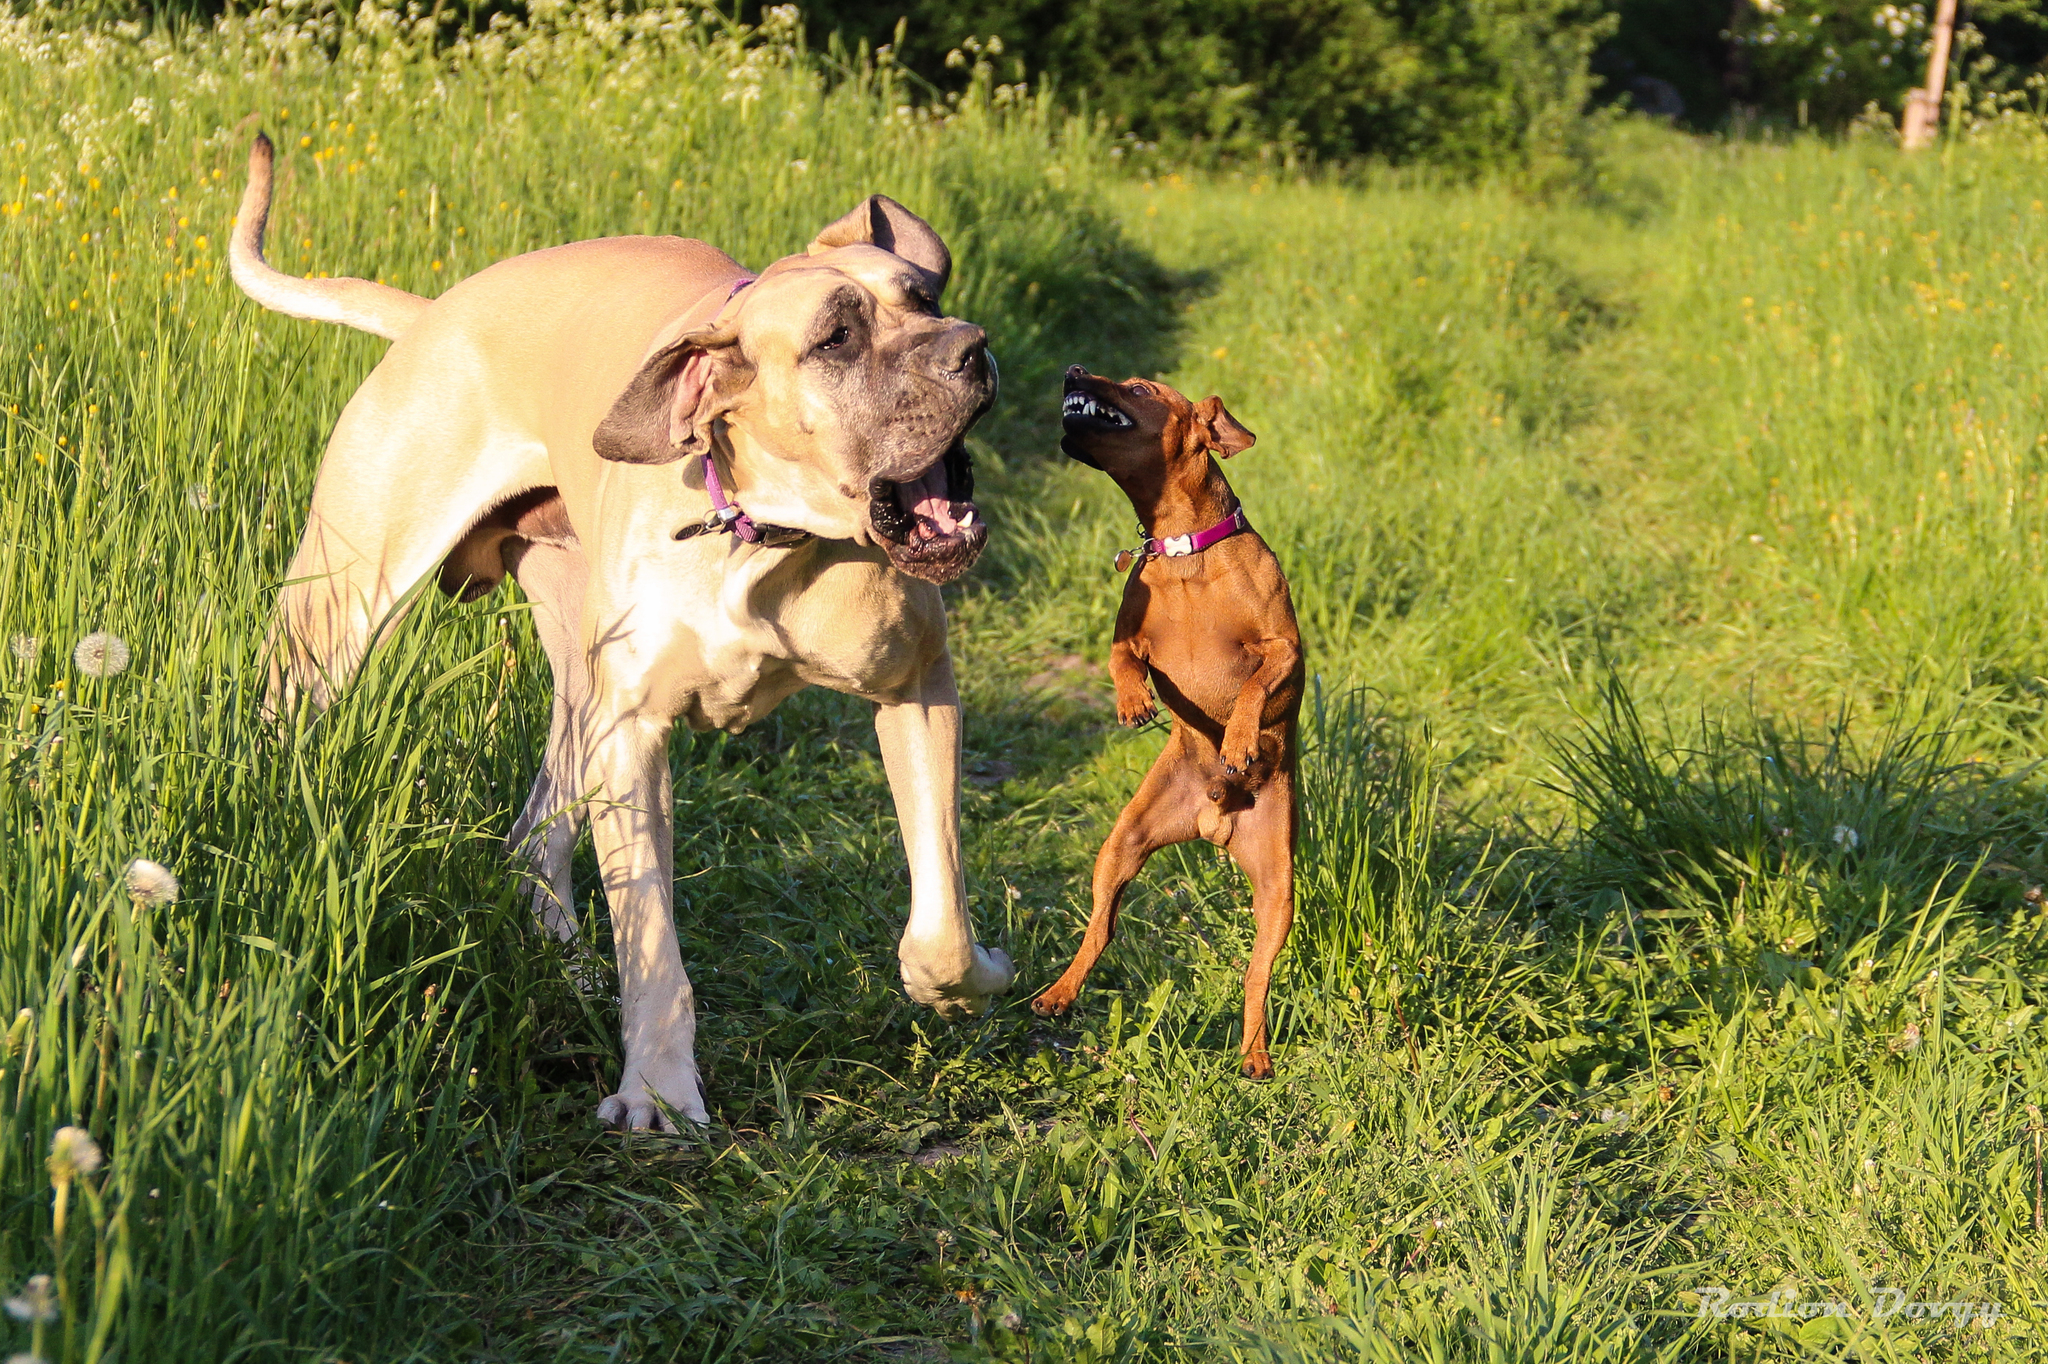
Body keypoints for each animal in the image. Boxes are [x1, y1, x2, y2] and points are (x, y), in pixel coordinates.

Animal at [1032, 360, 1302, 1073]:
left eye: (1140, 388)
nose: (1073, 368)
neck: (1185, 554)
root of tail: (1214, 821)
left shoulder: (1286, 650)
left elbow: (1254, 687)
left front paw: (1239, 737)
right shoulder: (1127, 638)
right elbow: (1120, 661)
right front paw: (1133, 702)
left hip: (1279, 890)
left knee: (1256, 977)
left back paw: (1255, 1054)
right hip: (1122, 846)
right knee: (1101, 927)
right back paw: (1060, 991)